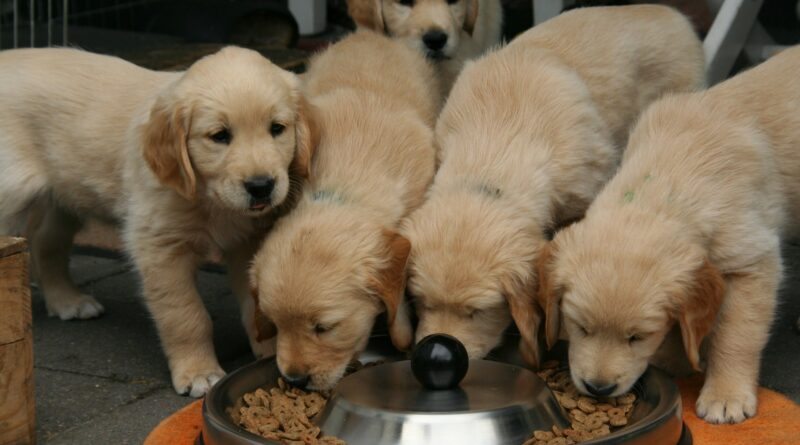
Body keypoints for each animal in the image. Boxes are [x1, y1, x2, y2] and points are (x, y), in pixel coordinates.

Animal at [0, 47, 312, 396]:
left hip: (63, 196)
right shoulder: (159, 246)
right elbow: (186, 315)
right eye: (220, 136)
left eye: (277, 128)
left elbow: (256, 303)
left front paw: (270, 353)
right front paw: (198, 371)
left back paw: (67, 301)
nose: (261, 186)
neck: (208, 197)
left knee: (45, 242)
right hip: (13, 192)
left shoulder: (249, 240)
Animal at [536, 46, 800, 424]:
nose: (598, 387)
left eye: (637, 337)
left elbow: (737, 335)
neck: (666, 183)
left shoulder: (752, 261)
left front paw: (726, 395)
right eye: (580, 327)